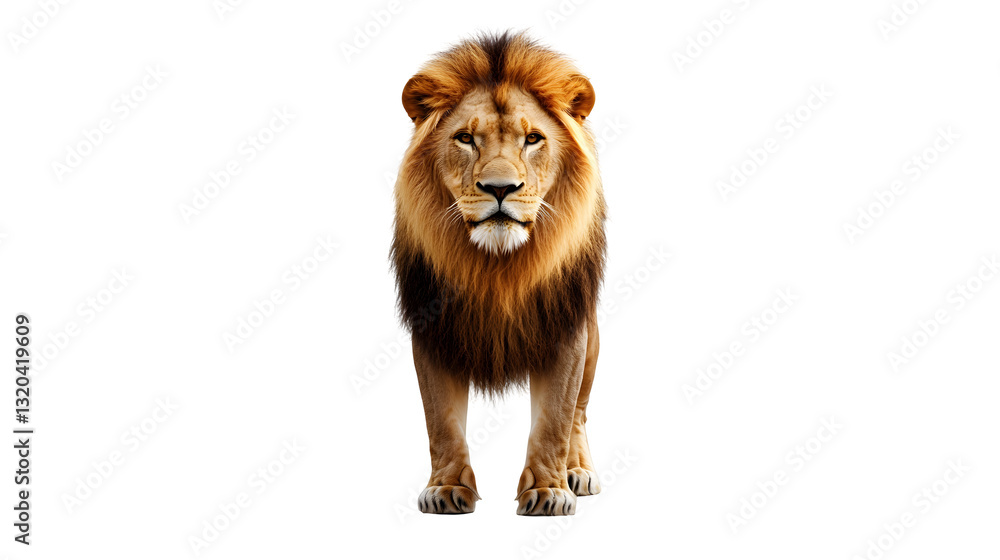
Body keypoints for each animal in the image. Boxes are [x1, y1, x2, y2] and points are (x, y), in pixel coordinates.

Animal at [391, 31, 606, 516]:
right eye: (466, 138)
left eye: (533, 139)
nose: (500, 188)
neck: (497, 267)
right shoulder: (432, 327)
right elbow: (441, 422)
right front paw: (446, 488)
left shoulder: (565, 328)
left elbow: (555, 420)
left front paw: (548, 491)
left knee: (580, 412)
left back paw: (578, 470)